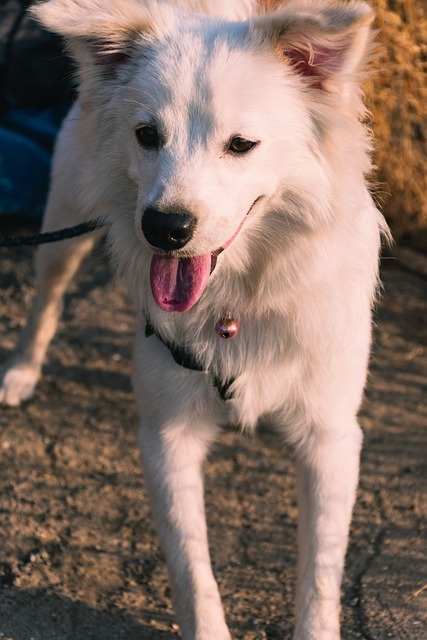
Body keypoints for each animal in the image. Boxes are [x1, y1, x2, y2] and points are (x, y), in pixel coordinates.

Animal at [0, 1, 388, 640]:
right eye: (147, 136)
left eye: (242, 144)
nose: (165, 227)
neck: (239, 300)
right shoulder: (167, 437)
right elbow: (191, 568)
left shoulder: (330, 439)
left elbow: (320, 577)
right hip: (63, 226)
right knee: (47, 299)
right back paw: (21, 372)